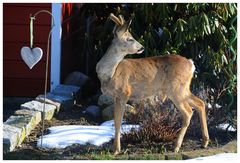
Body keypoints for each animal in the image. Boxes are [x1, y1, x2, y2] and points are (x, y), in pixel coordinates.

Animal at [96, 13, 209, 155]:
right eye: (130, 39)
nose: (142, 47)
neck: (110, 73)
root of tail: (191, 64)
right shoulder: (117, 96)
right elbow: (116, 121)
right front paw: (113, 148)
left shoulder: (124, 92)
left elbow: (118, 121)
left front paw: (116, 150)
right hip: (183, 88)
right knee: (200, 103)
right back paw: (204, 142)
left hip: (176, 89)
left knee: (188, 112)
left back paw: (176, 146)